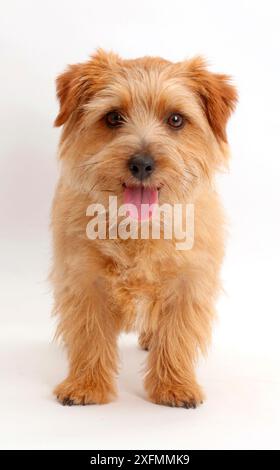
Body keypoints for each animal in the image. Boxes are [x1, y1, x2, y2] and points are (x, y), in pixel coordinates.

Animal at [50, 48, 236, 408]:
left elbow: (176, 335)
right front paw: (86, 385)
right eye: (112, 117)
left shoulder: (188, 283)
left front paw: (175, 386)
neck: (138, 228)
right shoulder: (83, 280)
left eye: (176, 119)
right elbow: (89, 334)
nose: (141, 164)